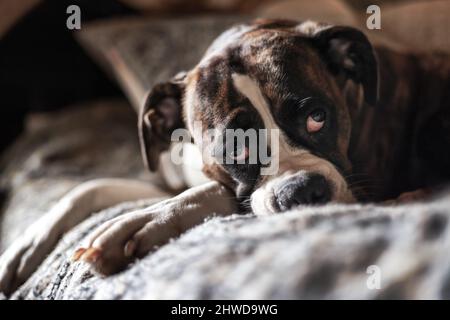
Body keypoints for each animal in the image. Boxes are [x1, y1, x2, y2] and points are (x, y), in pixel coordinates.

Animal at [0, 19, 450, 296]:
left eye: (317, 117)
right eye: (236, 147)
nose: (302, 190)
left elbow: (214, 194)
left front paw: (141, 223)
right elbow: (90, 188)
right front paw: (23, 249)